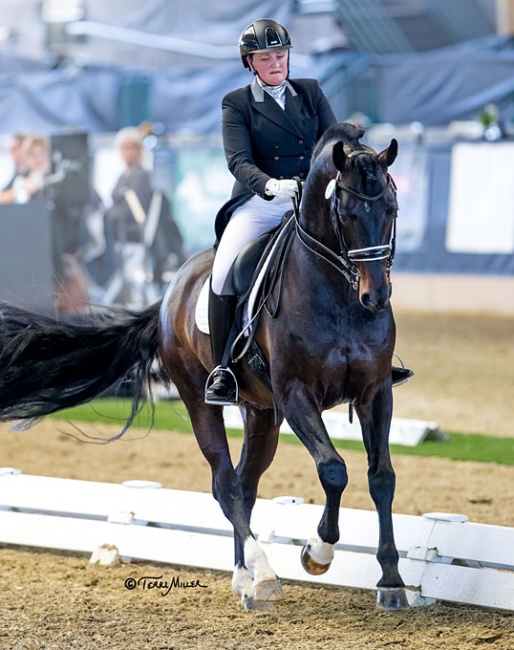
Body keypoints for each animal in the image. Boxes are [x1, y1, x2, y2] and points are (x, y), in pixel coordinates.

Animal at [0, 121, 408, 608]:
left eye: (391, 208)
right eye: (344, 213)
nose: (376, 296)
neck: (336, 293)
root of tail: (170, 292)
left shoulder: (375, 392)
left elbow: (381, 477)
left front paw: (392, 582)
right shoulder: (296, 394)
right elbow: (333, 469)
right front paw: (317, 553)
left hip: (261, 411)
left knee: (245, 485)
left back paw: (247, 575)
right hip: (201, 400)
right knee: (225, 484)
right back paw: (261, 575)